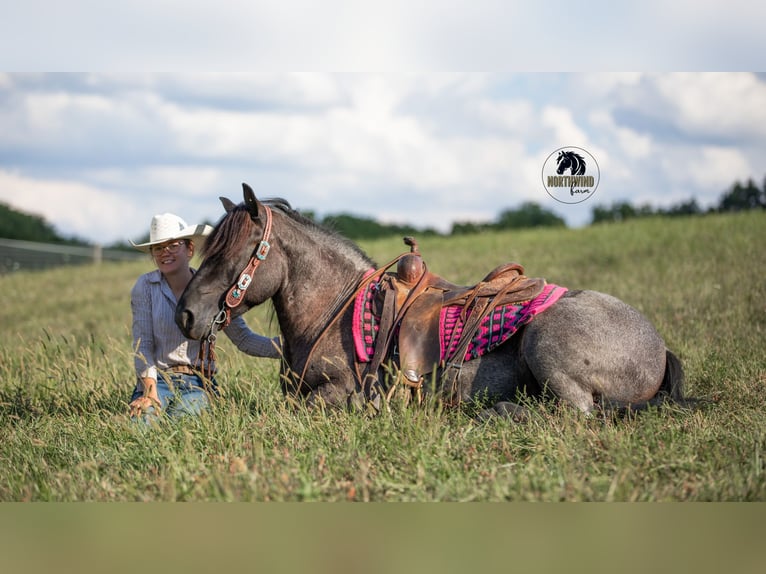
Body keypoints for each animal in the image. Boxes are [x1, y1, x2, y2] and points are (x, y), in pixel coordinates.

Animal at [176, 183, 692, 421]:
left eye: (231, 252)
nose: (186, 315)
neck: (334, 310)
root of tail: (658, 347)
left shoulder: (337, 395)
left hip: (547, 348)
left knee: (574, 414)